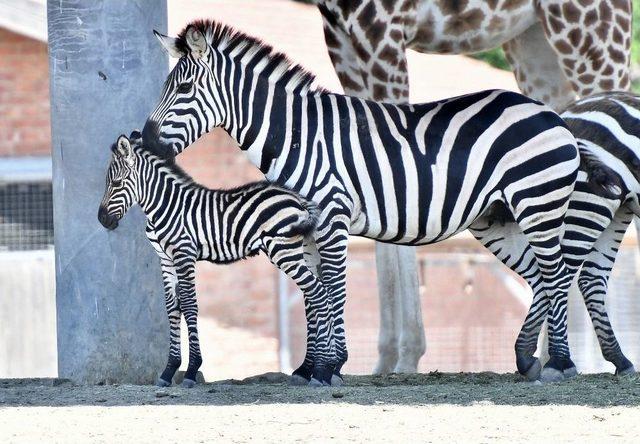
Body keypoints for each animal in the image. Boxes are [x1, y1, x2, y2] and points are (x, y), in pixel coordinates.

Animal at [97, 131, 322, 386]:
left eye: (116, 183)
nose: (102, 219)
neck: (165, 207)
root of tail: (298, 199)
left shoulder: (184, 254)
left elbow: (189, 304)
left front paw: (192, 370)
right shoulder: (165, 259)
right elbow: (172, 307)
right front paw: (168, 371)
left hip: (283, 250)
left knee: (317, 292)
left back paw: (319, 371)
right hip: (295, 250)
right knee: (312, 295)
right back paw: (308, 369)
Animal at [142, 19, 592, 384]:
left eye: (183, 88)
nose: (144, 140)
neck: (300, 136)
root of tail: (548, 112)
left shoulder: (332, 214)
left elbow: (333, 287)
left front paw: (329, 367)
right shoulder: (305, 224)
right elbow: (314, 291)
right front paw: (310, 368)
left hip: (538, 202)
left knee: (558, 274)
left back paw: (560, 364)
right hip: (497, 218)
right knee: (539, 277)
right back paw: (527, 361)